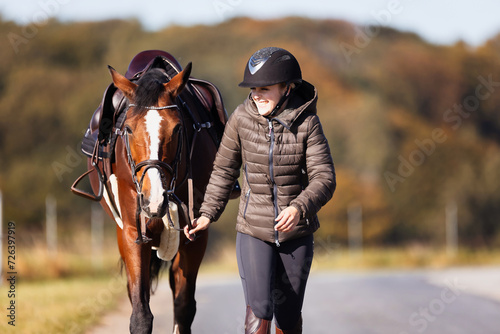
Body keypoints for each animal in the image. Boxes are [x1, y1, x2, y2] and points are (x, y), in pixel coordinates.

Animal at [73, 50, 229, 334]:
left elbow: (184, 308)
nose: (153, 199)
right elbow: (140, 314)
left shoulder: (196, 235)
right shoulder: (132, 231)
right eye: (128, 128)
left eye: (178, 128)